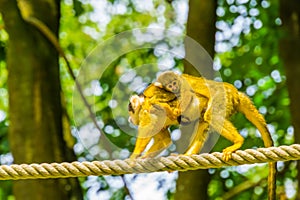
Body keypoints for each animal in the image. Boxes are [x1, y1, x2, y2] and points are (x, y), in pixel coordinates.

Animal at [129, 71, 276, 198]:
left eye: (130, 109)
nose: (130, 119)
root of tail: (236, 93)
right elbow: (164, 140)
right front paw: (144, 158)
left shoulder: (146, 110)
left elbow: (148, 127)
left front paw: (133, 158)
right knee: (204, 121)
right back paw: (187, 155)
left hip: (223, 99)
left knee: (211, 114)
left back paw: (238, 141)